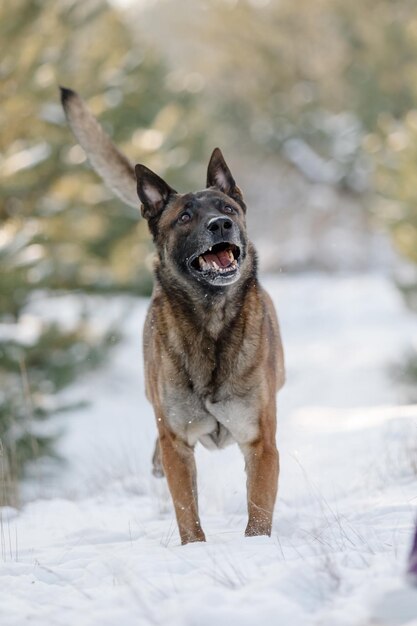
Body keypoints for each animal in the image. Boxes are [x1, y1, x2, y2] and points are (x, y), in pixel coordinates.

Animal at [60, 88, 284, 540]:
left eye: (227, 208)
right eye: (184, 217)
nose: (219, 225)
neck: (210, 322)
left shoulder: (260, 443)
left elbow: (258, 515)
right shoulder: (178, 445)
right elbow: (187, 513)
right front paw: (195, 548)